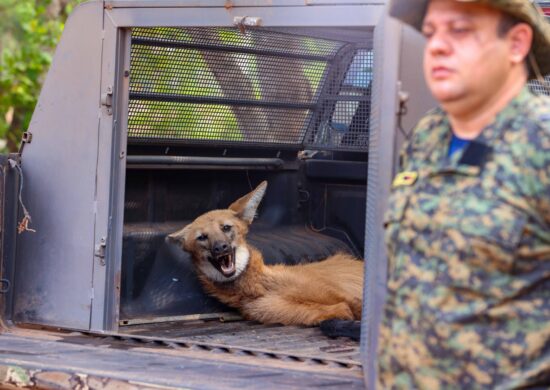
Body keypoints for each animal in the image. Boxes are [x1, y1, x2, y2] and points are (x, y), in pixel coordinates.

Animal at [169, 181, 366, 324]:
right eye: (202, 237)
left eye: (226, 227)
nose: (220, 247)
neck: (261, 285)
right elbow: (342, 309)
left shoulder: (337, 292)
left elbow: (355, 305)